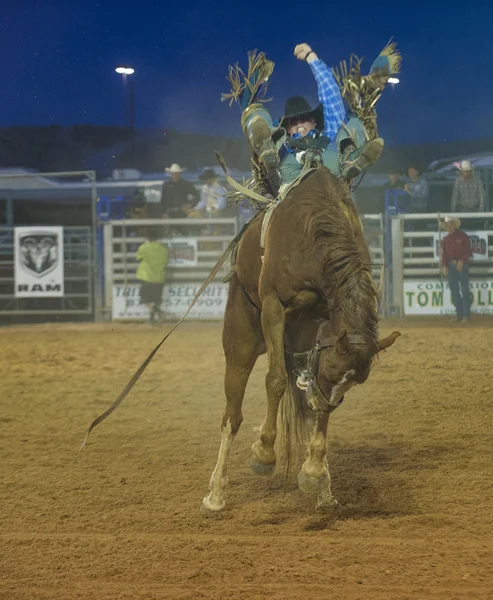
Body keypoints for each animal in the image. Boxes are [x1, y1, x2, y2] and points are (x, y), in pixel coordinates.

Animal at [201, 166, 400, 512]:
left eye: (354, 382)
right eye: (331, 373)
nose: (323, 401)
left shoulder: (321, 329)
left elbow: (310, 403)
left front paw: (315, 470)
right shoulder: (273, 307)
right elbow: (275, 381)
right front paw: (265, 453)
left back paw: (322, 485)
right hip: (241, 340)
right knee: (232, 414)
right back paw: (216, 493)